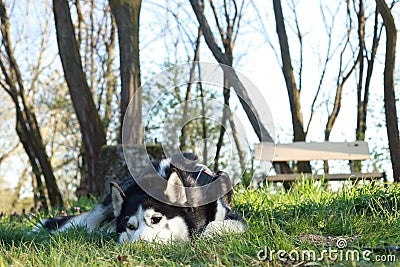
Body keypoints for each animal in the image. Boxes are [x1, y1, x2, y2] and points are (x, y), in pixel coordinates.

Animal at [35, 153, 247, 245]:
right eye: (130, 226)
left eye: (156, 219)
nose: (137, 245)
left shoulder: (233, 218)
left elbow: (213, 226)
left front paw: (203, 236)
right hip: (104, 208)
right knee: (86, 223)